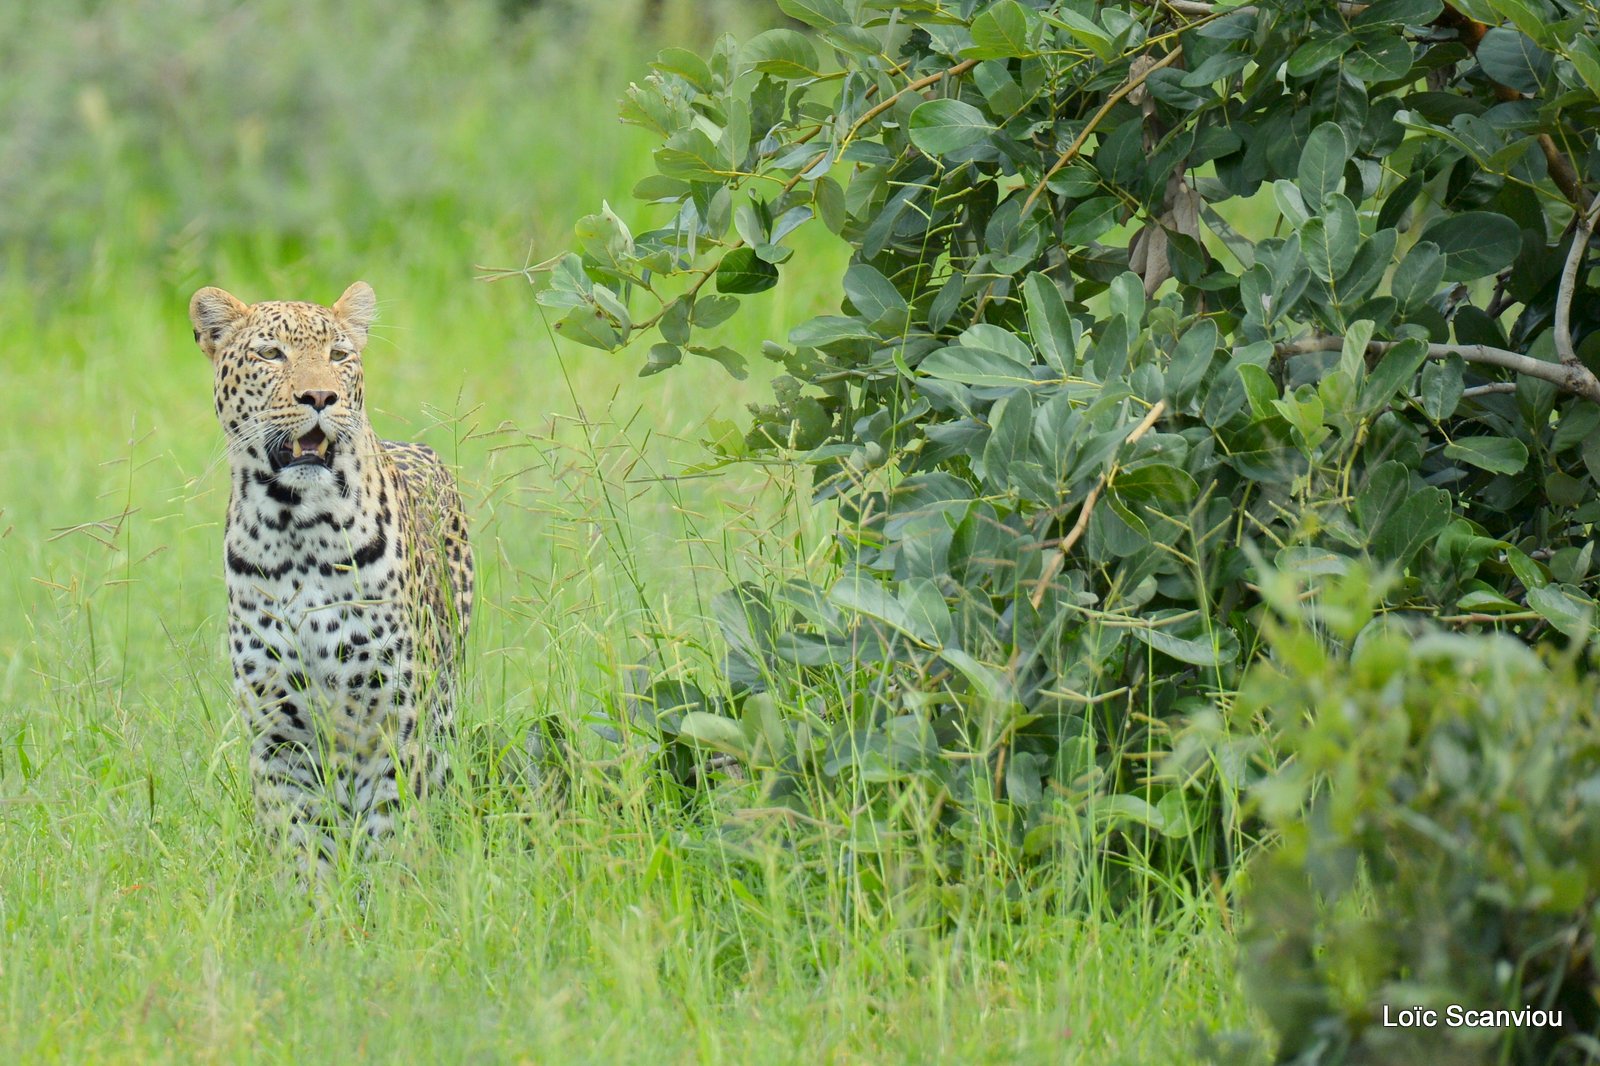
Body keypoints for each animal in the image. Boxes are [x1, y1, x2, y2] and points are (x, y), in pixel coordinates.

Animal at [188, 280, 467, 870]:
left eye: (339, 355)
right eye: (271, 354)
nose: (320, 398)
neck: (298, 527)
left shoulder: (392, 715)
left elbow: (391, 827)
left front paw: (391, 887)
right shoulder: (276, 727)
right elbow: (299, 844)